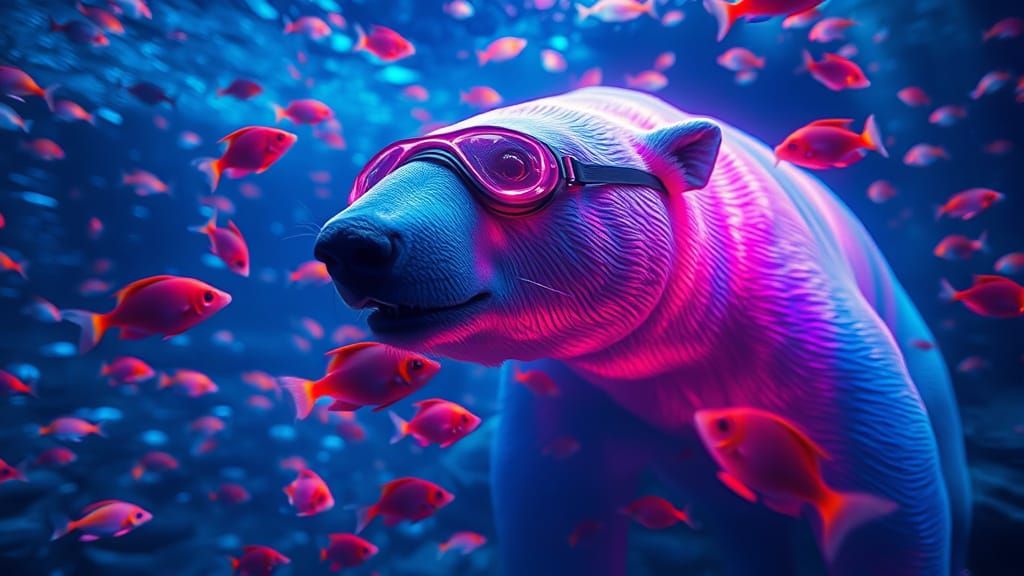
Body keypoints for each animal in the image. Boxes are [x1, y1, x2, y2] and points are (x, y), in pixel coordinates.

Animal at [313, 87, 969, 576]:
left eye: (510, 164)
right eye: (379, 171)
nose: (353, 243)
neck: (676, 340)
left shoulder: (795, 319)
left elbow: (886, 481)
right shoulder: (574, 380)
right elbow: (553, 504)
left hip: (913, 332)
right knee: (741, 521)